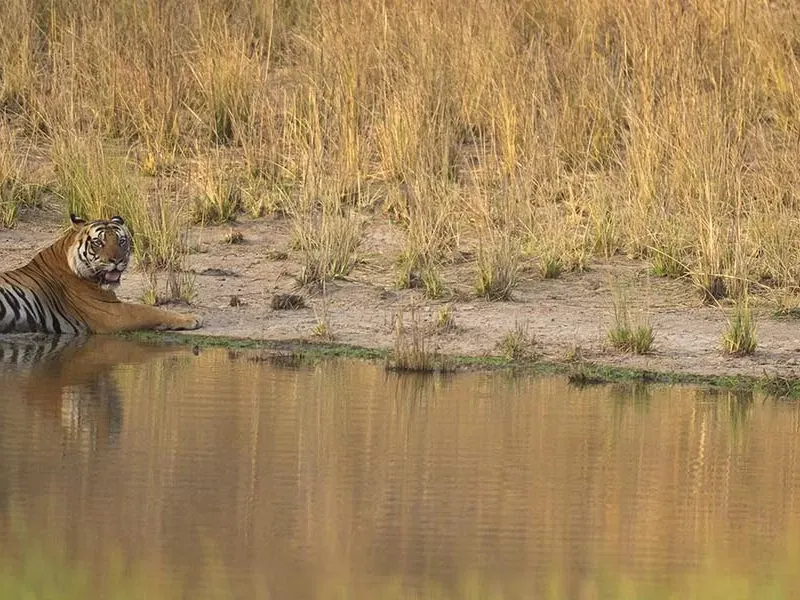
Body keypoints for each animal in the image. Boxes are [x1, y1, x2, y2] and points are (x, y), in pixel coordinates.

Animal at [0, 214, 201, 334]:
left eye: (121, 241)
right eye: (98, 242)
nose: (117, 260)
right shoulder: (112, 313)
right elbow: (151, 311)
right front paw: (192, 318)